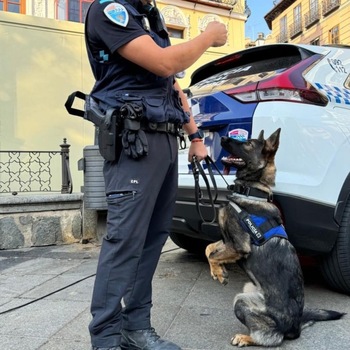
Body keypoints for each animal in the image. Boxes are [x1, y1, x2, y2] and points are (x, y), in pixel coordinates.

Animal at [205, 129, 344, 348]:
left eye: (248, 144)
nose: (224, 138)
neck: (252, 191)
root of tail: (295, 326)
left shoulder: (238, 246)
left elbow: (212, 255)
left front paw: (218, 272)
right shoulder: (228, 242)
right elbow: (209, 249)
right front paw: (218, 271)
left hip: (241, 300)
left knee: (271, 338)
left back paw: (246, 337)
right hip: (248, 288)